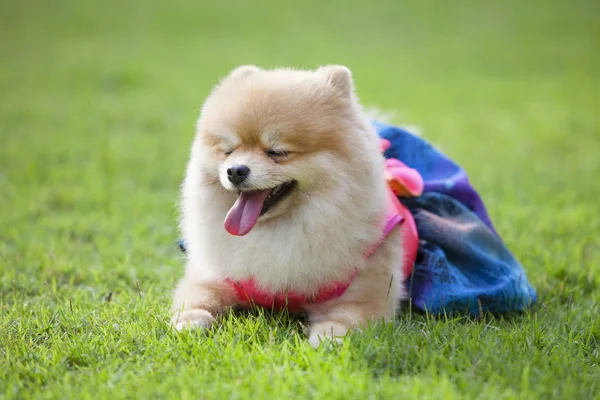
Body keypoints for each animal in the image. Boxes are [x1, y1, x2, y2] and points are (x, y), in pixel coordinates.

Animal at [173, 65, 408, 346]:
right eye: (228, 151)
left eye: (277, 152)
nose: (235, 171)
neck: (277, 229)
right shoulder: (216, 275)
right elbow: (197, 296)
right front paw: (190, 321)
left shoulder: (364, 294)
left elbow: (347, 317)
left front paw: (329, 337)